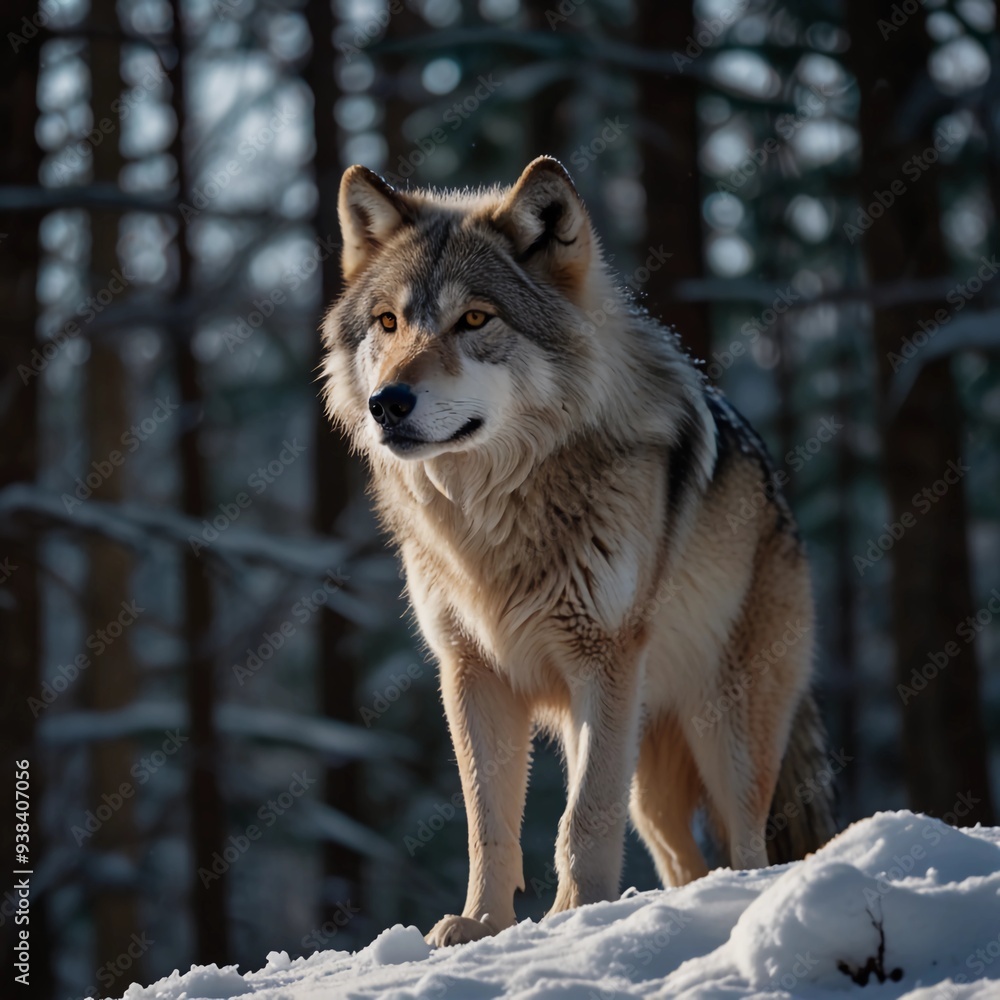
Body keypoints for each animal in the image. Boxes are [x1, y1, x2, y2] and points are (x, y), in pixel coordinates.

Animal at [321, 156, 836, 947]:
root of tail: (782, 502)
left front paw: (571, 921)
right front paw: (482, 924)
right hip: (649, 780)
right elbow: (488, 823)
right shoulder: (471, 673)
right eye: (388, 322)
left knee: (747, 846)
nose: (388, 403)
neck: (493, 518)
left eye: (475, 319)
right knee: (684, 860)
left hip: (724, 732)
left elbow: (581, 820)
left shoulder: (605, 658)